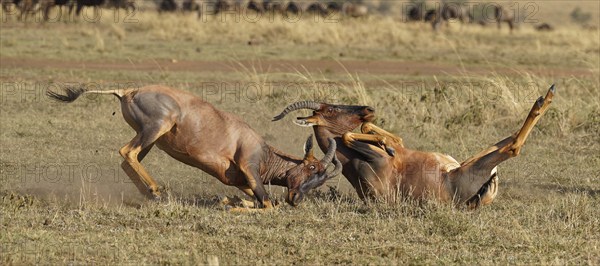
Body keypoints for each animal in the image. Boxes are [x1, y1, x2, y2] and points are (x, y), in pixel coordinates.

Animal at [47, 85, 342, 210]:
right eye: (311, 167)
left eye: (321, 179)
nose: (296, 199)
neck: (264, 149)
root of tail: (127, 91)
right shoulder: (249, 167)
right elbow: (269, 203)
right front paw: (233, 206)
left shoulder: (237, 179)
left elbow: (257, 198)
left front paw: (230, 201)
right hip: (157, 127)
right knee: (126, 152)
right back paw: (156, 190)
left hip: (149, 137)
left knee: (128, 158)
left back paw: (152, 195)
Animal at [274, 84, 556, 209]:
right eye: (331, 110)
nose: (367, 109)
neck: (352, 164)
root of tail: (475, 200)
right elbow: (348, 136)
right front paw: (386, 145)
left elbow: (369, 131)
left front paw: (388, 142)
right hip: (472, 168)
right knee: (512, 147)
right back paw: (545, 97)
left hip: (464, 162)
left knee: (504, 140)